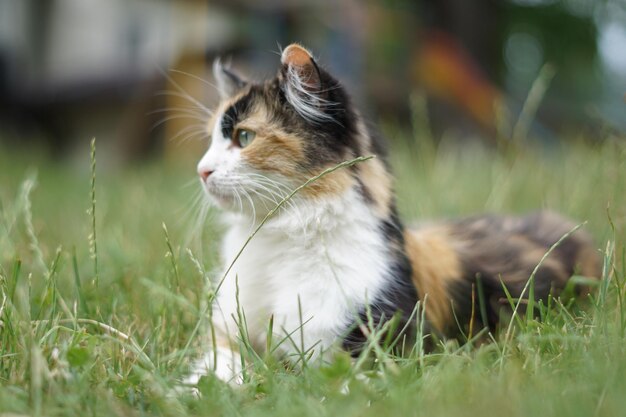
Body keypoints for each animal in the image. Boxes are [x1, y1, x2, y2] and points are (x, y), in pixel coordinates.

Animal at [188, 43, 596, 384]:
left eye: (244, 137)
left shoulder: (359, 350)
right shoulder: (225, 331)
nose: (201, 170)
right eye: (211, 140)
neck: (277, 240)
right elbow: (222, 363)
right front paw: (199, 389)